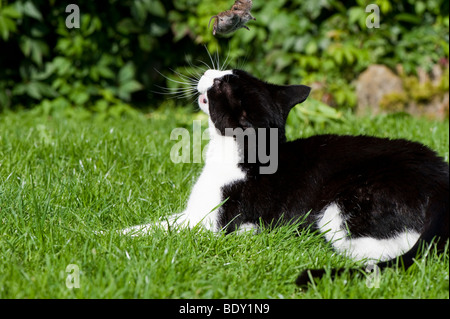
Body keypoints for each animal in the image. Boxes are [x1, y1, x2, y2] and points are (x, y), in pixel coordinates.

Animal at [121, 68, 448, 288]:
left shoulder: (211, 222)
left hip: (340, 209)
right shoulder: (195, 213)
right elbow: (159, 222)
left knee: (380, 260)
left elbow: (161, 229)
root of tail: (441, 180)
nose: (208, 72)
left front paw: (111, 235)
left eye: (220, 84)